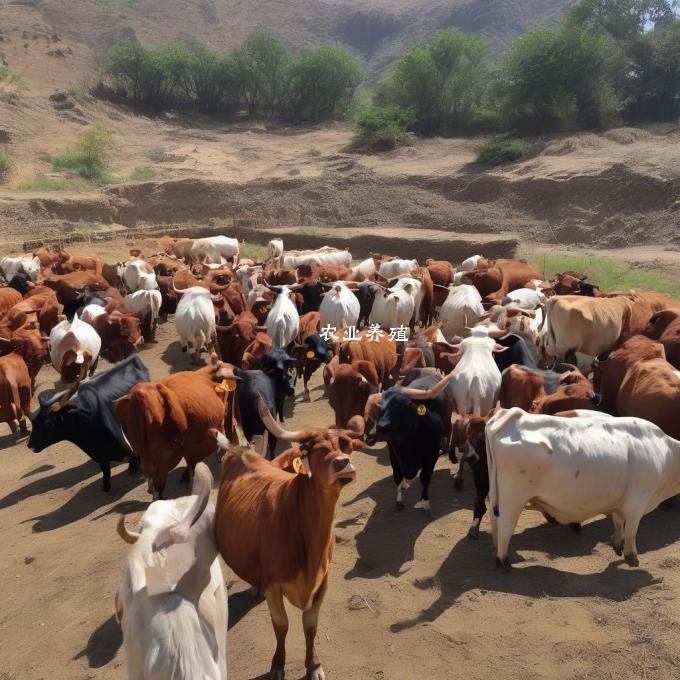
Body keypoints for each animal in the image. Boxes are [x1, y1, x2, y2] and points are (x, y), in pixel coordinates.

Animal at [27, 354, 149, 492]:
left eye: (47, 422)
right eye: (34, 422)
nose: (30, 445)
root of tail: (132, 357)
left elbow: (134, 459)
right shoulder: (101, 455)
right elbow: (105, 470)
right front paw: (105, 487)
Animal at [215, 402, 358, 680]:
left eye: (343, 445)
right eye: (314, 448)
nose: (343, 463)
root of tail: (241, 452)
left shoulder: (323, 580)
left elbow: (310, 625)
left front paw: (313, 664)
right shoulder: (274, 583)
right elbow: (281, 625)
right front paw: (277, 665)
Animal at [488, 410, 680, 568]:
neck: (665, 451)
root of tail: (516, 414)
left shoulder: (620, 500)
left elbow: (618, 522)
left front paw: (617, 545)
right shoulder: (637, 502)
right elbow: (631, 531)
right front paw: (632, 557)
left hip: (496, 495)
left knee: (495, 524)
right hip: (513, 498)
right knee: (506, 526)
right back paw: (504, 562)